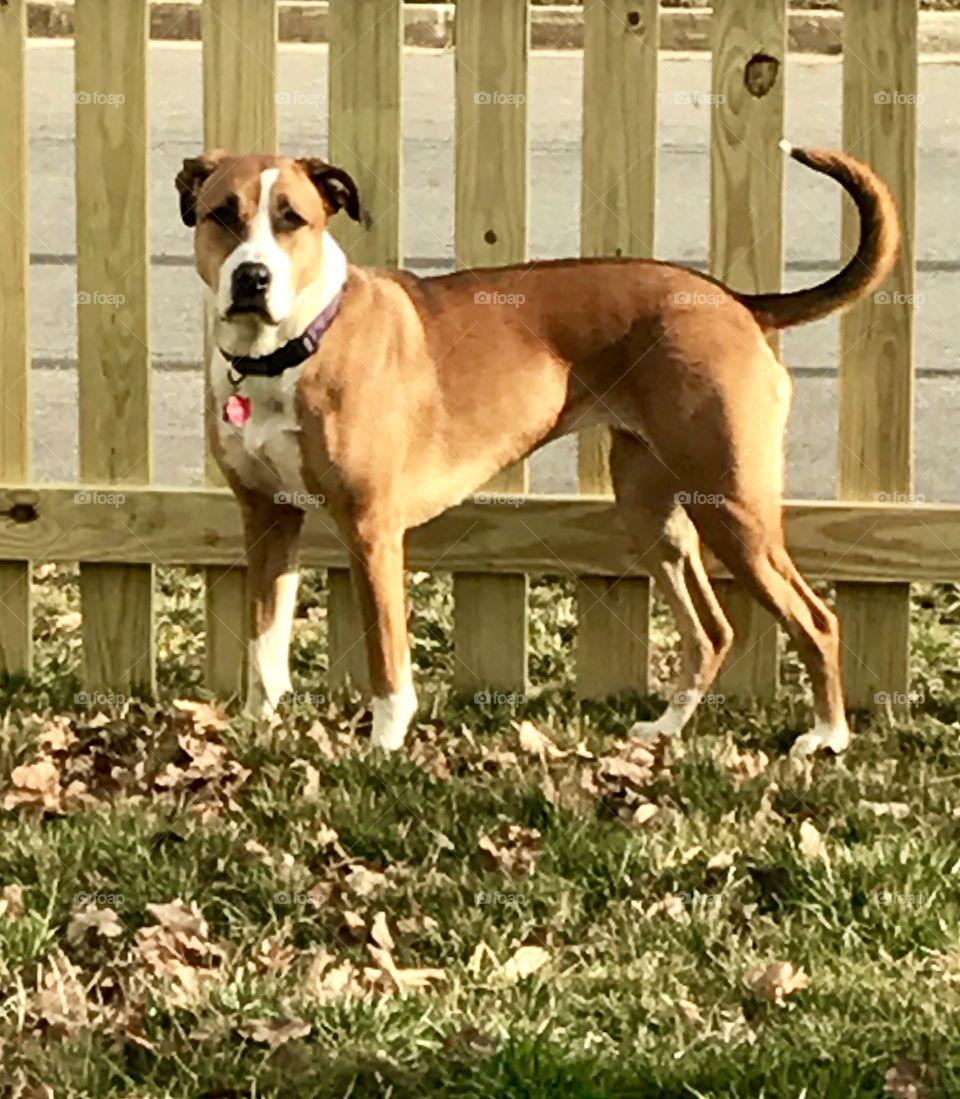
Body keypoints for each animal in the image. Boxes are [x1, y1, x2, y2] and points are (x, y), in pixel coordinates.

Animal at [177, 139, 896, 756]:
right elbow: (264, 642)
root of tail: (736, 301)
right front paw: (258, 726)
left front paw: (383, 746)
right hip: (654, 510)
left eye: (292, 219)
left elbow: (385, 657)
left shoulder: (371, 530)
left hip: (735, 507)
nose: (252, 277)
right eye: (222, 215)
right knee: (713, 629)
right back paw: (668, 727)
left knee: (816, 620)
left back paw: (827, 736)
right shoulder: (269, 520)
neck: (293, 348)